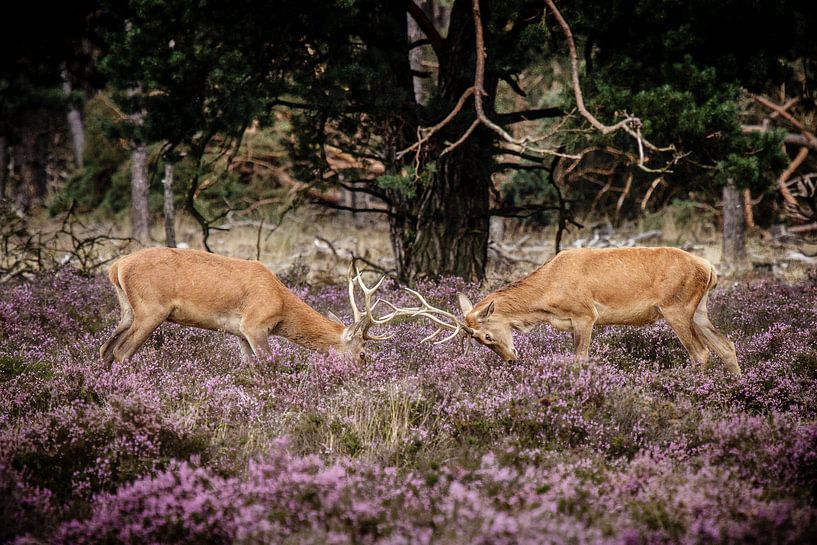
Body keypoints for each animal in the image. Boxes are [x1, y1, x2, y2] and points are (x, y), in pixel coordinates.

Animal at [99, 247, 397, 366]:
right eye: (362, 353)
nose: (364, 374)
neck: (281, 303)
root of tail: (116, 267)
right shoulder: (255, 324)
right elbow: (270, 363)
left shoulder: (239, 331)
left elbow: (248, 365)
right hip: (151, 308)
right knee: (122, 353)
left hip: (128, 311)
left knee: (105, 349)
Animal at [382, 247, 740, 375]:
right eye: (479, 342)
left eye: (486, 336)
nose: (511, 360)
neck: (548, 295)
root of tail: (710, 268)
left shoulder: (586, 314)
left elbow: (580, 359)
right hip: (699, 308)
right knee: (726, 345)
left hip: (675, 307)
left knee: (700, 353)